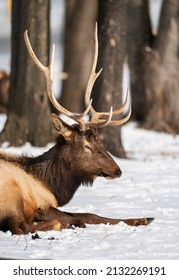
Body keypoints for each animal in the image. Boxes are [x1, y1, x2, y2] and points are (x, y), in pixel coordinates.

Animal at [0, 24, 154, 235]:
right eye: (87, 146)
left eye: (101, 142)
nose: (118, 170)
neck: (51, 186)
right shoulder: (43, 203)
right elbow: (85, 216)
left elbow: (88, 214)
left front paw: (145, 218)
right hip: (12, 193)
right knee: (20, 227)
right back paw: (60, 224)